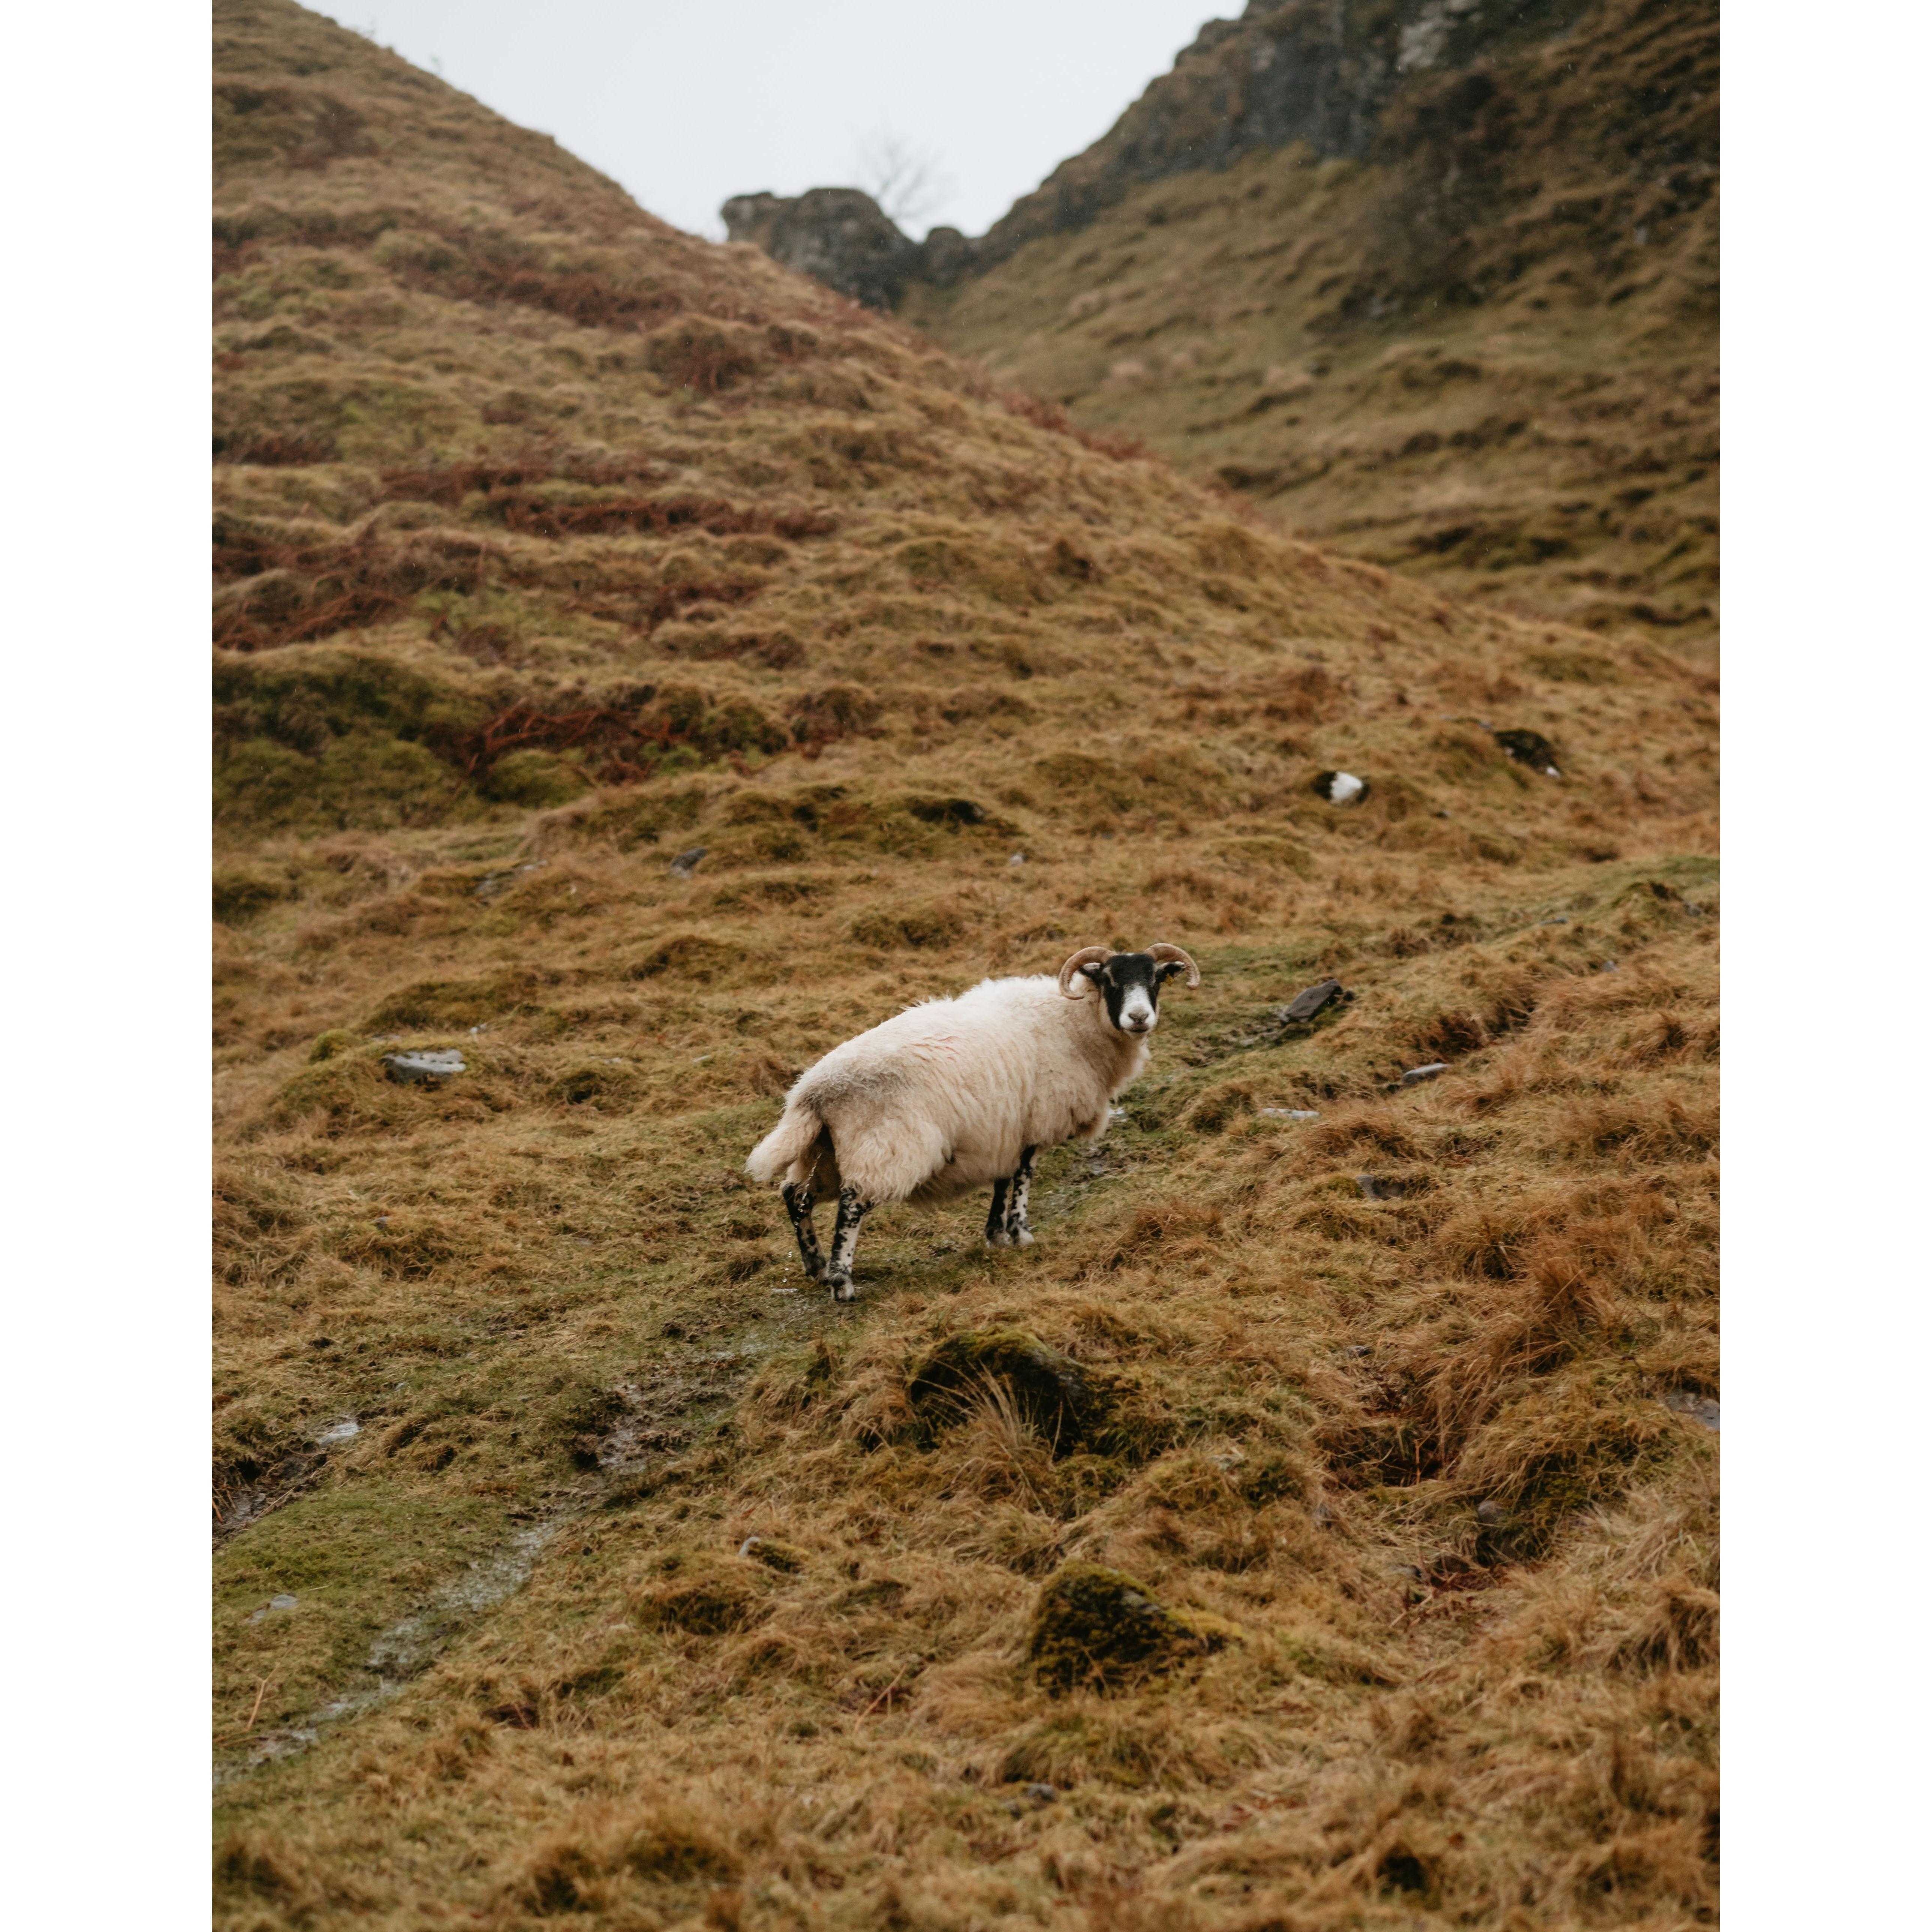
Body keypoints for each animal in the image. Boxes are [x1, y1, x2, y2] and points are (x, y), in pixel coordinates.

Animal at [738, 939, 1190, 1298]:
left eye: (1155, 979)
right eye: (1110, 980)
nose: (1139, 1018)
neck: (1074, 1023)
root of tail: (813, 1093)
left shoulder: (1007, 1125)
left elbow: (1003, 1179)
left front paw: (996, 1236)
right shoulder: (1035, 1120)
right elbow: (1023, 1177)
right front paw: (1021, 1234)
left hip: (821, 1150)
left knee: (796, 1196)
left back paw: (815, 1267)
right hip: (885, 1145)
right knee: (851, 1205)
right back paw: (842, 1282)